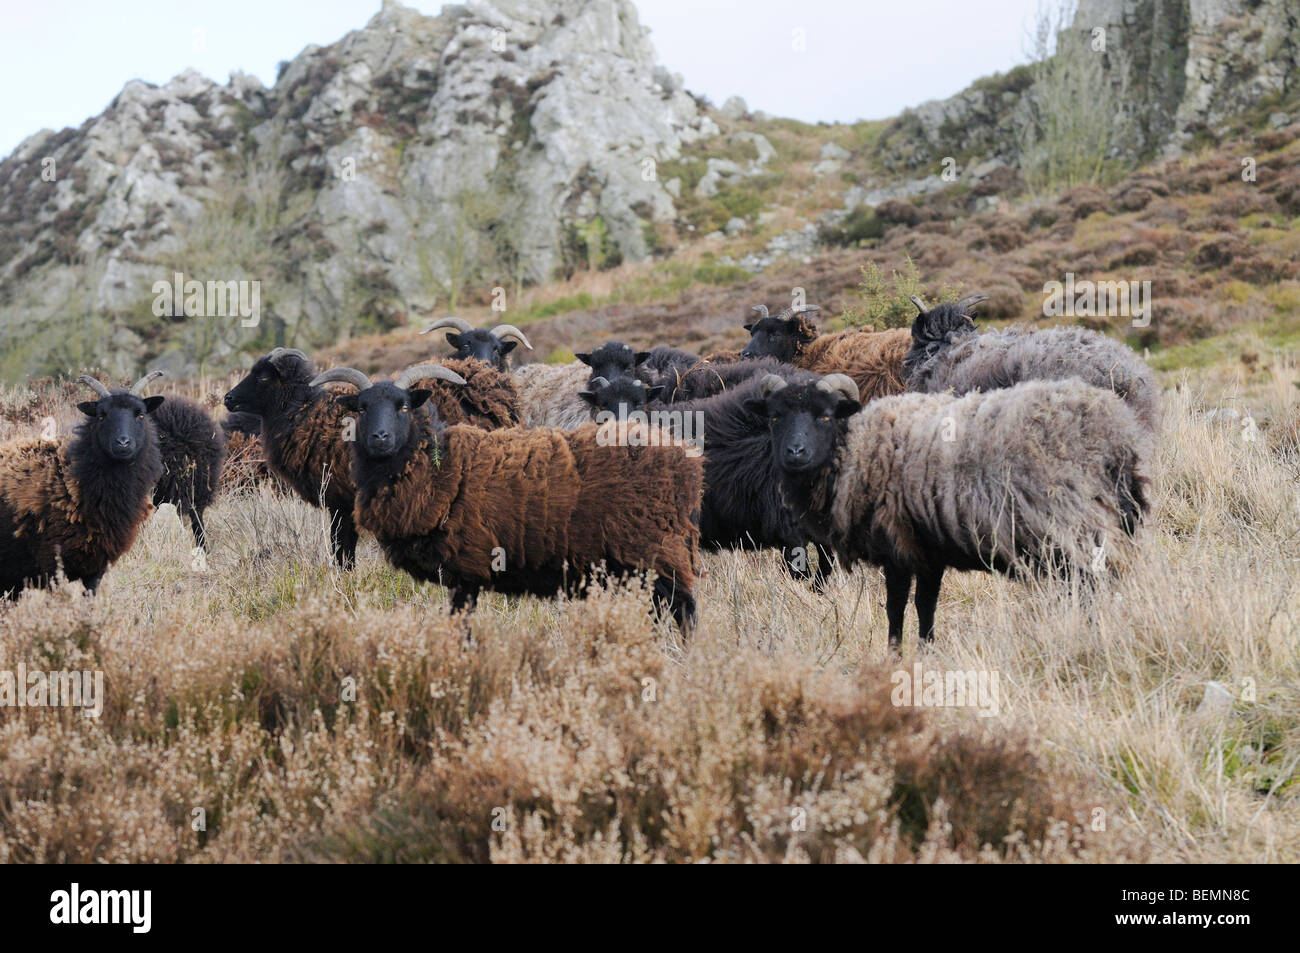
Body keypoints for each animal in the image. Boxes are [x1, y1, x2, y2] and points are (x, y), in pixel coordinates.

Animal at [310, 364, 707, 631]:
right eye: (361, 408)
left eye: (403, 406)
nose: (379, 438)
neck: (435, 466)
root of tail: (686, 462)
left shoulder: (466, 570)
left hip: (658, 550)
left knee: (684, 610)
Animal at [759, 371, 1154, 647]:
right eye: (775, 417)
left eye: (825, 416)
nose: (795, 453)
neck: (852, 448)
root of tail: (1115, 435)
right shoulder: (927, 550)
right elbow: (925, 605)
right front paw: (927, 649)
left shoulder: (897, 544)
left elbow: (896, 607)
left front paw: (895, 653)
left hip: (1072, 523)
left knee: (1088, 588)